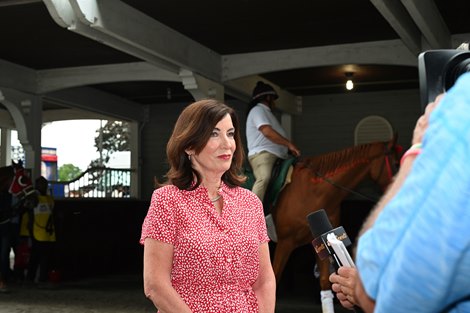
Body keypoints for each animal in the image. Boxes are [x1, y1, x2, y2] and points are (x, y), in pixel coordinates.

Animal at [270, 138, 398, 310]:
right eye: (396, 163)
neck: (312, 193)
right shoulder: (285, 243)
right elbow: (274, 279)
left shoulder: (320, 245)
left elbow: (325, 284)